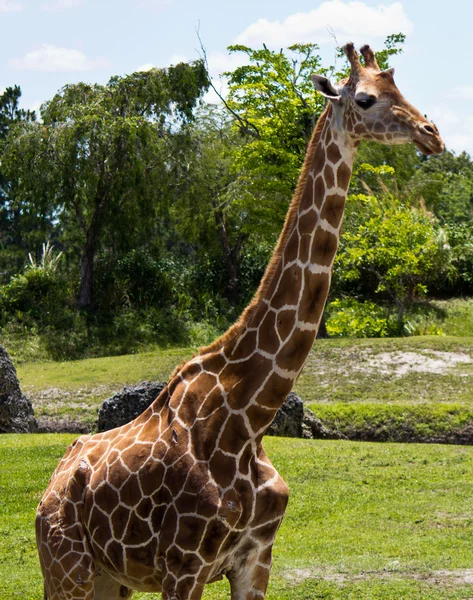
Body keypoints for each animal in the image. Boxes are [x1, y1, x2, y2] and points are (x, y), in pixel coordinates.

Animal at [36, 44, 442, 600]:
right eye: (365, 98)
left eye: (400, 87)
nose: (433, 133)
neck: (249, 417)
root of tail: (50, 487)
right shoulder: (182, 566)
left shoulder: (256, 558)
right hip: (65, 567)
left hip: (109, 578)